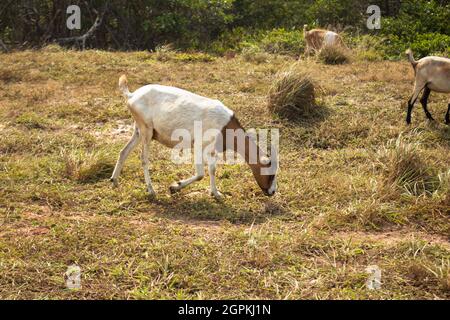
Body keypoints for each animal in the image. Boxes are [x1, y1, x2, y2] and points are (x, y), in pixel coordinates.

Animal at [110, 76, 276, 199]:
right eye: (271, 174)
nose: (272, 192)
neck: (226, 124)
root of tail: (132, 95)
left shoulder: (211, 150)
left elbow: (212, 169)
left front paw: (216, 194)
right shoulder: (199, 145)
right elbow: (201, 174)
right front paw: (174, 187)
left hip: (138, 131)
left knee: (123, 152)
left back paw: (114, 181)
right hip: (147, 131)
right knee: (143, 158)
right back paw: (151, 190)